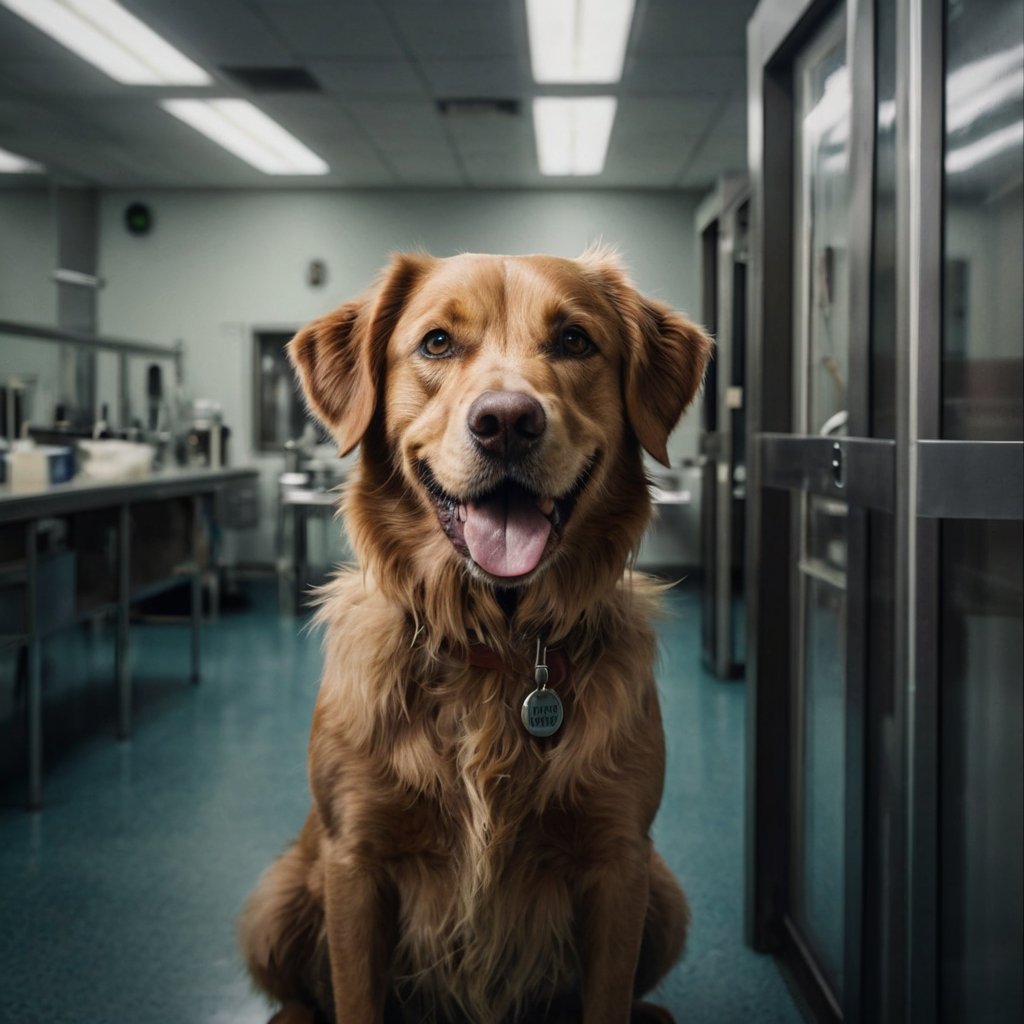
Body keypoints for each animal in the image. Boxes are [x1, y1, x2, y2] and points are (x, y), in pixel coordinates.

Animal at [241, 247, 712, 1024]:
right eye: (436, 342)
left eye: (575, 340)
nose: (507, 422)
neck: (498, 645)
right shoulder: (355, 860)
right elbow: (354, 994)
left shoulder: (619, 859)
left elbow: (608, 995)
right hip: (276, 898)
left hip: (666, 897)